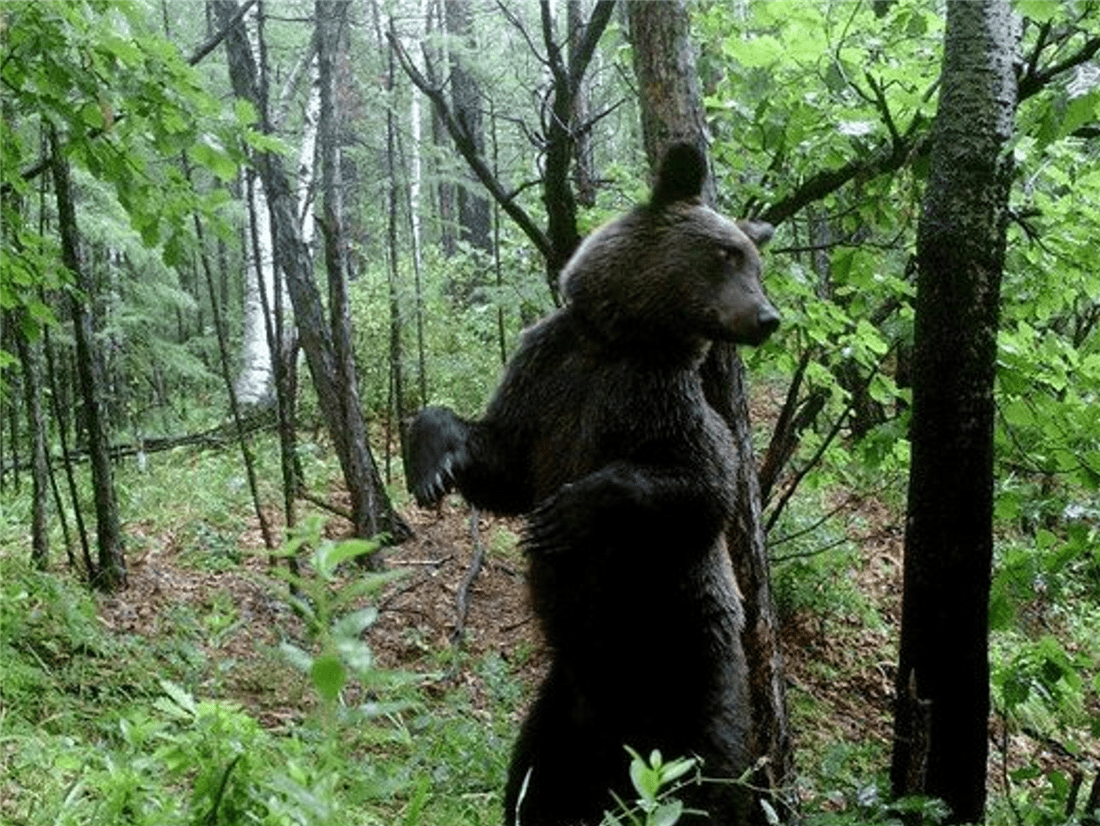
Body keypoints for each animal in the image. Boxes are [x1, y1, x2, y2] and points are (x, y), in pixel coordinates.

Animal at [409, 145, 778, 822]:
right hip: (564, 706)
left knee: (715, 774)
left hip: (692, 665)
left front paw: (566, 513)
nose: (767, 316)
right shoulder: (546, 375)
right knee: (531, 782)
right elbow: (503, 464)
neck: (615, 340)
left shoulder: (660, 402)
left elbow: (703, 485)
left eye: (753, 261)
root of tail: (626, 750)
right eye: (726, 255)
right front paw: (433, 462)